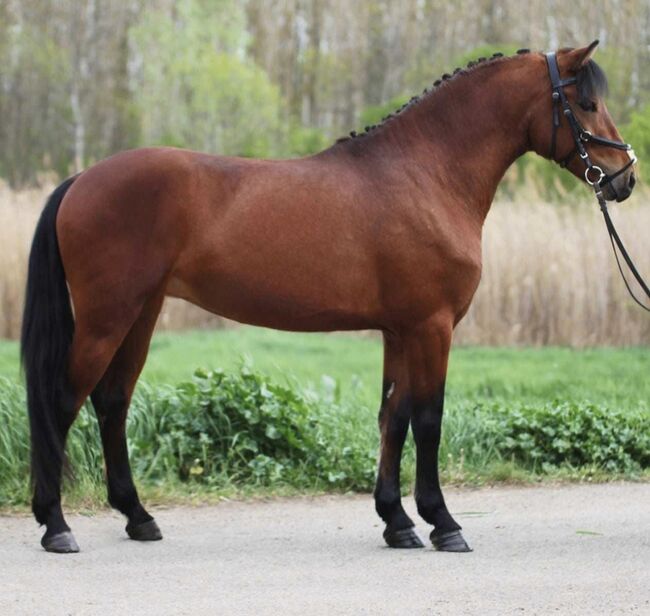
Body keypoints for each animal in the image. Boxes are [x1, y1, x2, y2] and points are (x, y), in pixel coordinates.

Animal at [21, 41, 636, 554]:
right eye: (584, 103)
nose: (624, 177)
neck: (425, 174)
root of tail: (80, 180)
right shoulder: (432, 326)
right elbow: (428, 420)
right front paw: (443, 523)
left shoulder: (400, 330)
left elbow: (393, 417)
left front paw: (397, 523)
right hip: (106, 319)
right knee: (62, 403)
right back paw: (56, 525)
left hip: (139, 315)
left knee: (111, 402)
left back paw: (137, 517)